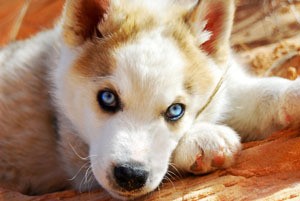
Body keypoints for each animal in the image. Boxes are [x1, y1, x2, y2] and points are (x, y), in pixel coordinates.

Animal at [0, 0, 300, 199]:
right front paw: (202, 139)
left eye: (176, 110)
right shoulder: (77, 157)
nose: (130, 175)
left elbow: (261, 93)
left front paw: (291, 94)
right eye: (107, 97)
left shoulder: (227, 85)